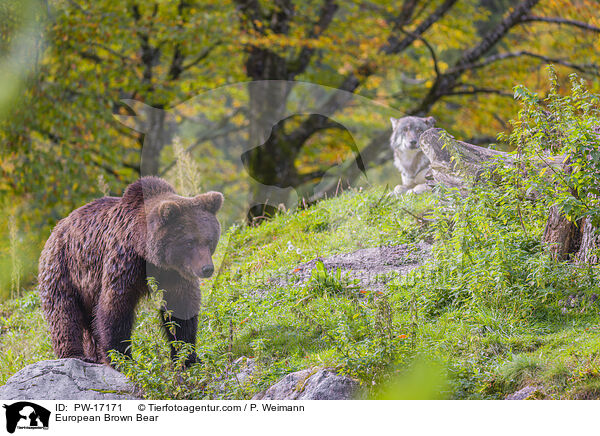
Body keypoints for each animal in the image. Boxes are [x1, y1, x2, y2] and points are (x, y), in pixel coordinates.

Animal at [38, 175, 225, 366]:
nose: (207, 268)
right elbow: (115, 307)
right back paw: (75, 354)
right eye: (189, 242)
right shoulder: (124, 262)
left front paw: (187, 358)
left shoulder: (175, 273)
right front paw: (121, 358)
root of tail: (56, 229)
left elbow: (180, 308)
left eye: (209, 240)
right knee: (64, 312)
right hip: (64, 268)